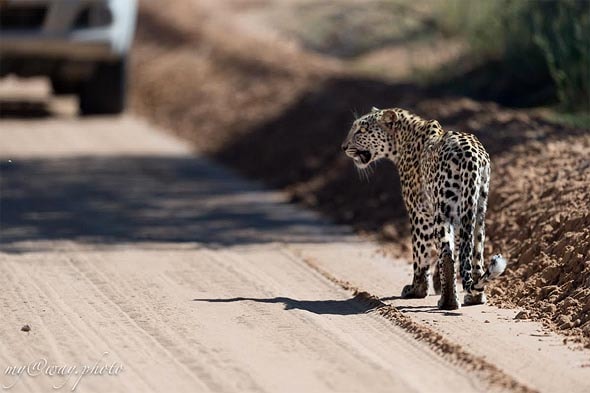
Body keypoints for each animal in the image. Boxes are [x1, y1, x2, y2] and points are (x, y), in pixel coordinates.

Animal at [342, 107, 508, 310]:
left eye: (361, 131)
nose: (343, 147)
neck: (401, 140)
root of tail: (471, 155)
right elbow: (458, 251)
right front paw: (437, 282)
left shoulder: (418, 212)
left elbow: (420, 254)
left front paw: (417, 290)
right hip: (477, 208)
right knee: (474, 253)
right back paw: (475, 297)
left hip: (442, 209)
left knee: (446, 254)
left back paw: (447, 302)